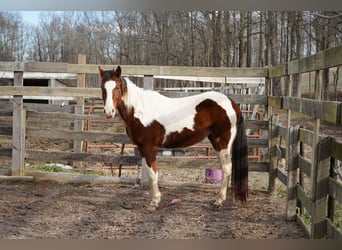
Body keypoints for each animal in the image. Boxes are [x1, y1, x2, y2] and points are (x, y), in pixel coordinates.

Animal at [99, 65, 248, 208]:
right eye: (102, 87)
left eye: (117, 87)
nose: (109, 112)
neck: (139, 110)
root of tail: (232, 103)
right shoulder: (142, 148)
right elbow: (150, 171)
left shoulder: (149, 148)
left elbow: (153, 174)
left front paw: (154, 201)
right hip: (215, 142)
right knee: (224, 168)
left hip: (223, 142)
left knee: (227, 168)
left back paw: (218, 201)